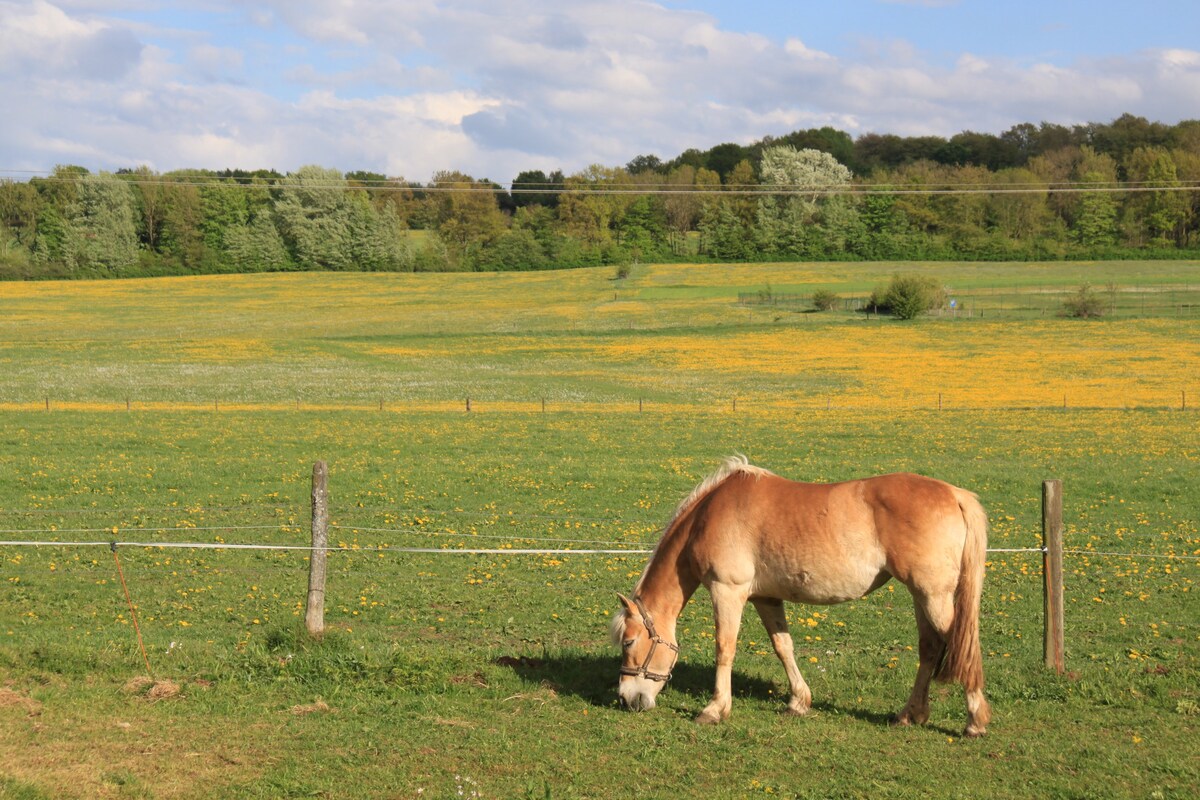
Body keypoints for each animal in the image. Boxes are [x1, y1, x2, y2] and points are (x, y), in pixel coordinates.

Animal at [614, 455, 988, 738]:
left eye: (629, 642)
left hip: (933, 596)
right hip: (922, 596)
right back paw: (911, 714)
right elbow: (784, 647)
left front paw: (715, 709)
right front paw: (799, 702)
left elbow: (725, 649)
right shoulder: (765, 599)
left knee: (963, 647)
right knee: (930, 648)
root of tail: (955, 494)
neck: (708, 516)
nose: (626, 698)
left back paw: (975, 721)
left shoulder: (727, 591)